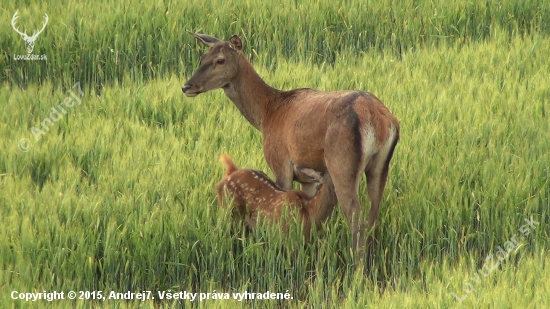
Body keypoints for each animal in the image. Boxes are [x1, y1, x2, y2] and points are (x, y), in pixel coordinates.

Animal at [182, 33, 402, 260]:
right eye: (202, 58)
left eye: (220, 60)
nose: (187, 86)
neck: (267, 115)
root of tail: (379, 119)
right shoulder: (306, 177)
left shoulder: (280, 163)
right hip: (380, 166)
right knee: (373, 213)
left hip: (342, 164)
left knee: (355, 215)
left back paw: (356, 263)